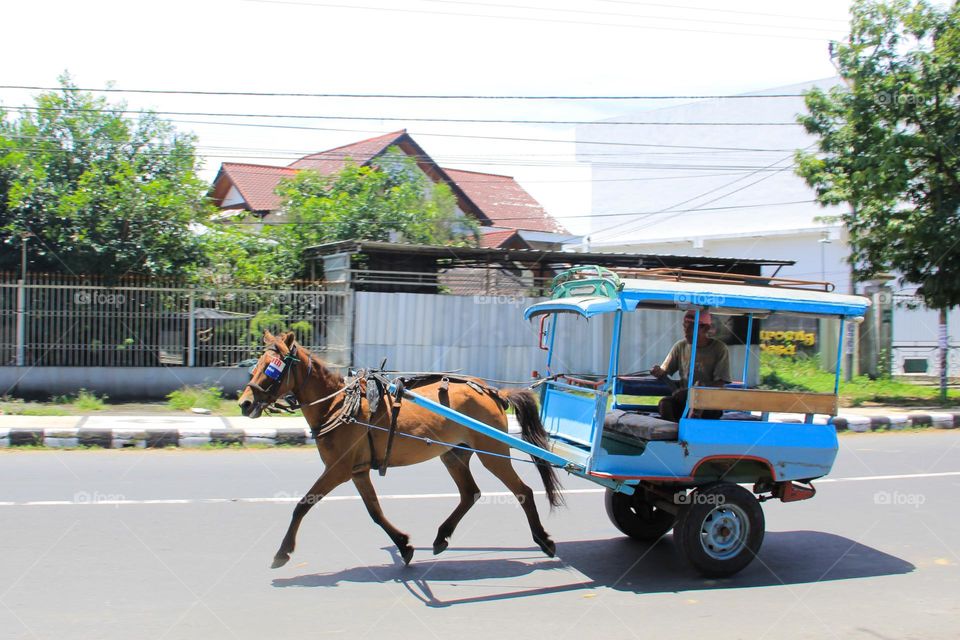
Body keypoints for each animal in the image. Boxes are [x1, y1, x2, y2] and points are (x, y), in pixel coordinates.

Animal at [237, 332, 564, 568]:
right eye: (256, 365)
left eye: (272, 370)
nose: (245, 404)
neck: (338, 405)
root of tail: (494, 392)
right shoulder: (357, 471)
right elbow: (375, 512)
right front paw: (404, 546)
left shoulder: (338, 469)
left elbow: (303, 504)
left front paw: (283, 552)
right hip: (454, 454)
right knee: (470, 493)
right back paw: (441, 537)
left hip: (492, 453)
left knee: (523, 491)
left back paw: (545, 540)